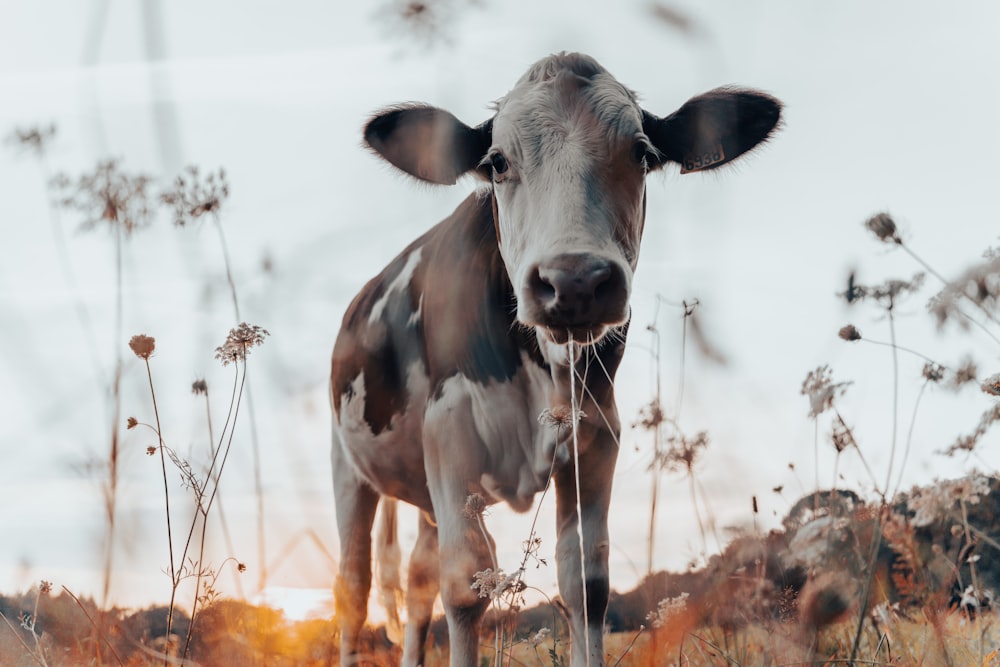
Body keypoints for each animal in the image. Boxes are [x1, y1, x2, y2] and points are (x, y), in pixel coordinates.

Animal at [332, 53, 784, 667]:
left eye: (642, 154)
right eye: (497, 162)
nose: (574, 281)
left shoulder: (595, 436)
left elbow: (585, 582)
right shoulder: (448, 433)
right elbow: (466, 585)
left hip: (425, 496)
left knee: (418, 581)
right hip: (349, 468)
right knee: (354, 589)